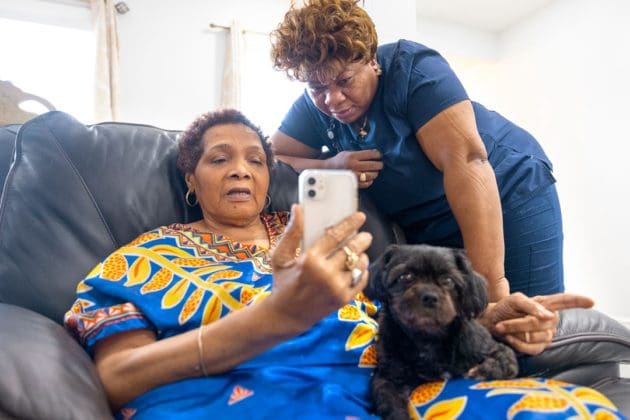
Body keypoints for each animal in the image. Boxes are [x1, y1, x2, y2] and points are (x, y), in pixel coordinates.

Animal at [366, 244, 520, 418]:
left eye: (448, 280)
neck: (427, 339)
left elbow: (507, 360)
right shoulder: (389, 375)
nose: (429, 297)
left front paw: (487, 369)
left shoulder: (487, 346)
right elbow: (388, 399)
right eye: (405, 276)